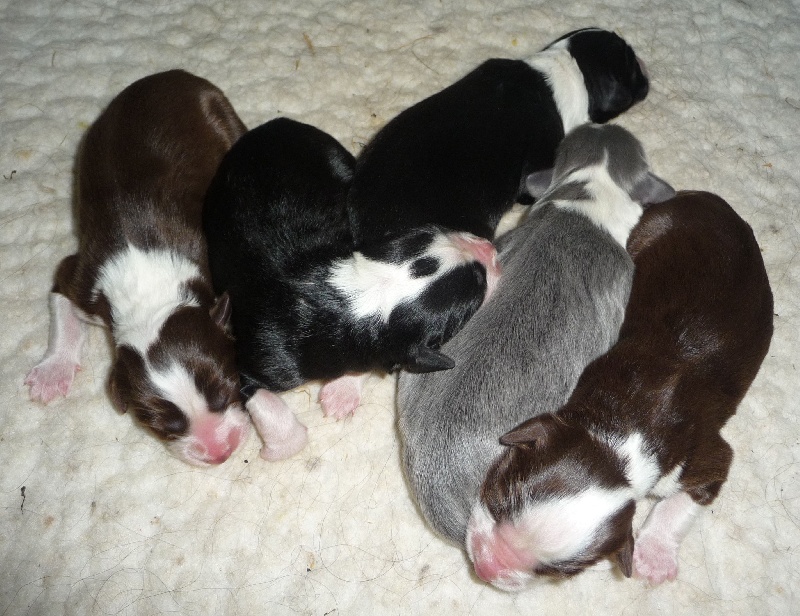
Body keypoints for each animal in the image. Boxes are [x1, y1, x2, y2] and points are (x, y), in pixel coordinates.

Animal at [24, 71, 250, 466]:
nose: (220, 452)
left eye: (229, 389)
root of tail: (172, 74)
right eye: (158, 423)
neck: (150, 296)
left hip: (223, 114)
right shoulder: (81, 278)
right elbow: (61, 306)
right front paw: (52, 372)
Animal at [203, 118, 496, 460]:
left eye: (433, 231)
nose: (490, 248)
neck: (356, 296)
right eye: (478, 285)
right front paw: (278, 449)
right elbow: (266, 404)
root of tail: (277, 122)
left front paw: (341, 392)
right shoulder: (254, 358)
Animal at [468, 191, 776, 588]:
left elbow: (682, 502)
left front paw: (654, 556)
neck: (620, 439)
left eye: (556, 572)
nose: (487, 567)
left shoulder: (706, 457)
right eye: (499, 497)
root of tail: (708, 198)